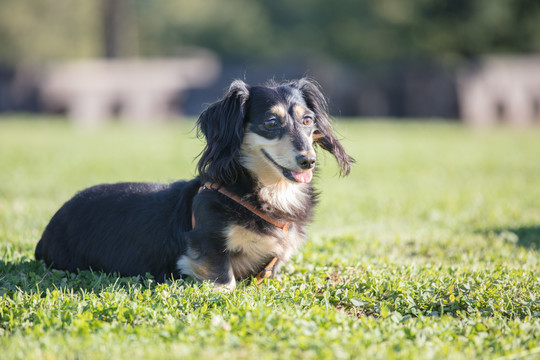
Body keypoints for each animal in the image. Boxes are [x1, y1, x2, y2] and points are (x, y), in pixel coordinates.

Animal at [34, 77, 354, 288]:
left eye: (308, 120)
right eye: (271, 123)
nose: (308, 161)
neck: (266, 193)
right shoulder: (204, 247)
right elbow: (225, 280)